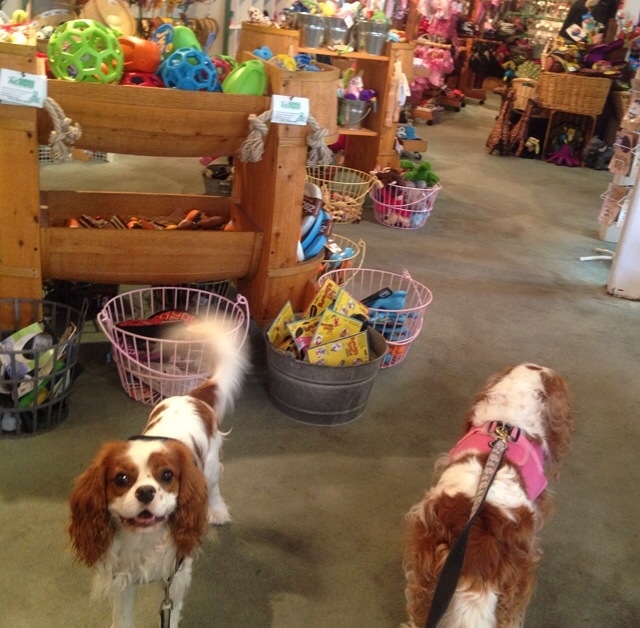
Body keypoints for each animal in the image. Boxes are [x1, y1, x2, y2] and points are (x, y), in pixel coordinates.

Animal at [68, 322, 248, 624]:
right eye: (121, 479)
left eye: (166, 476)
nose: (145, 492)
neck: (144, 540)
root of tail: (191, 396)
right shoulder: (123, 582)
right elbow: (122, 620)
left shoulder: (174, 581)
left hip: (210, 467)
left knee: (213, 487)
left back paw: (218, 510)